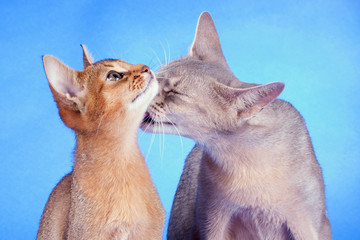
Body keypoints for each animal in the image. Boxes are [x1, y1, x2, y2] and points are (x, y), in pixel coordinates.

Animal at [141, 11, 332, 240]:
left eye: (174, 93)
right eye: (156, 76)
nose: (143, 89)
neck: (247, 164)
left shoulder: (308, 225)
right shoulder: (212, 220)